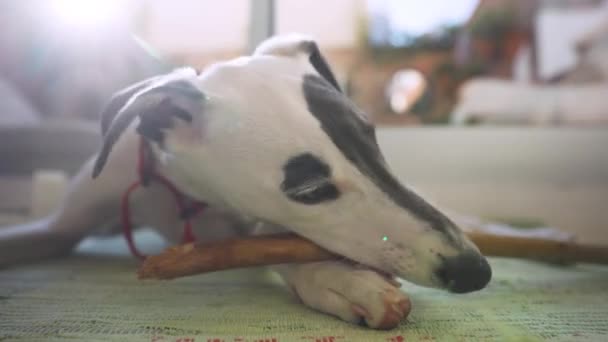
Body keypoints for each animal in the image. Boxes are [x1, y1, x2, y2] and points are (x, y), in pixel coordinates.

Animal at [0, 35, 492, 328]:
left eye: (371, 138)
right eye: (309, 190)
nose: (475, 271)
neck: (176, 192)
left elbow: (269, 240)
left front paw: (341, 278)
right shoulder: (59, 227)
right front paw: (344, 279)